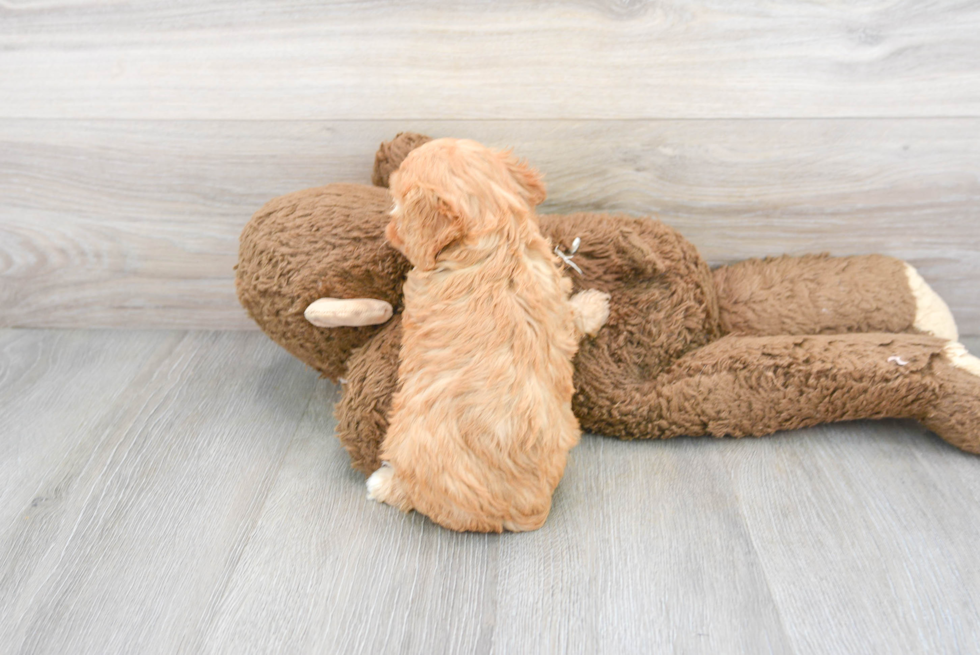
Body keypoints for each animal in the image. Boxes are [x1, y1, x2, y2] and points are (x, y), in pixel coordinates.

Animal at [368, 138, 608, 532]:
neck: (498, 239)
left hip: (404, 438)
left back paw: (382, 483)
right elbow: (571, 317)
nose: (389, 229)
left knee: (408, 493)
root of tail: (525, 511)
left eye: (397, 203)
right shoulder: (552, 294)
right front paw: (594, 305)